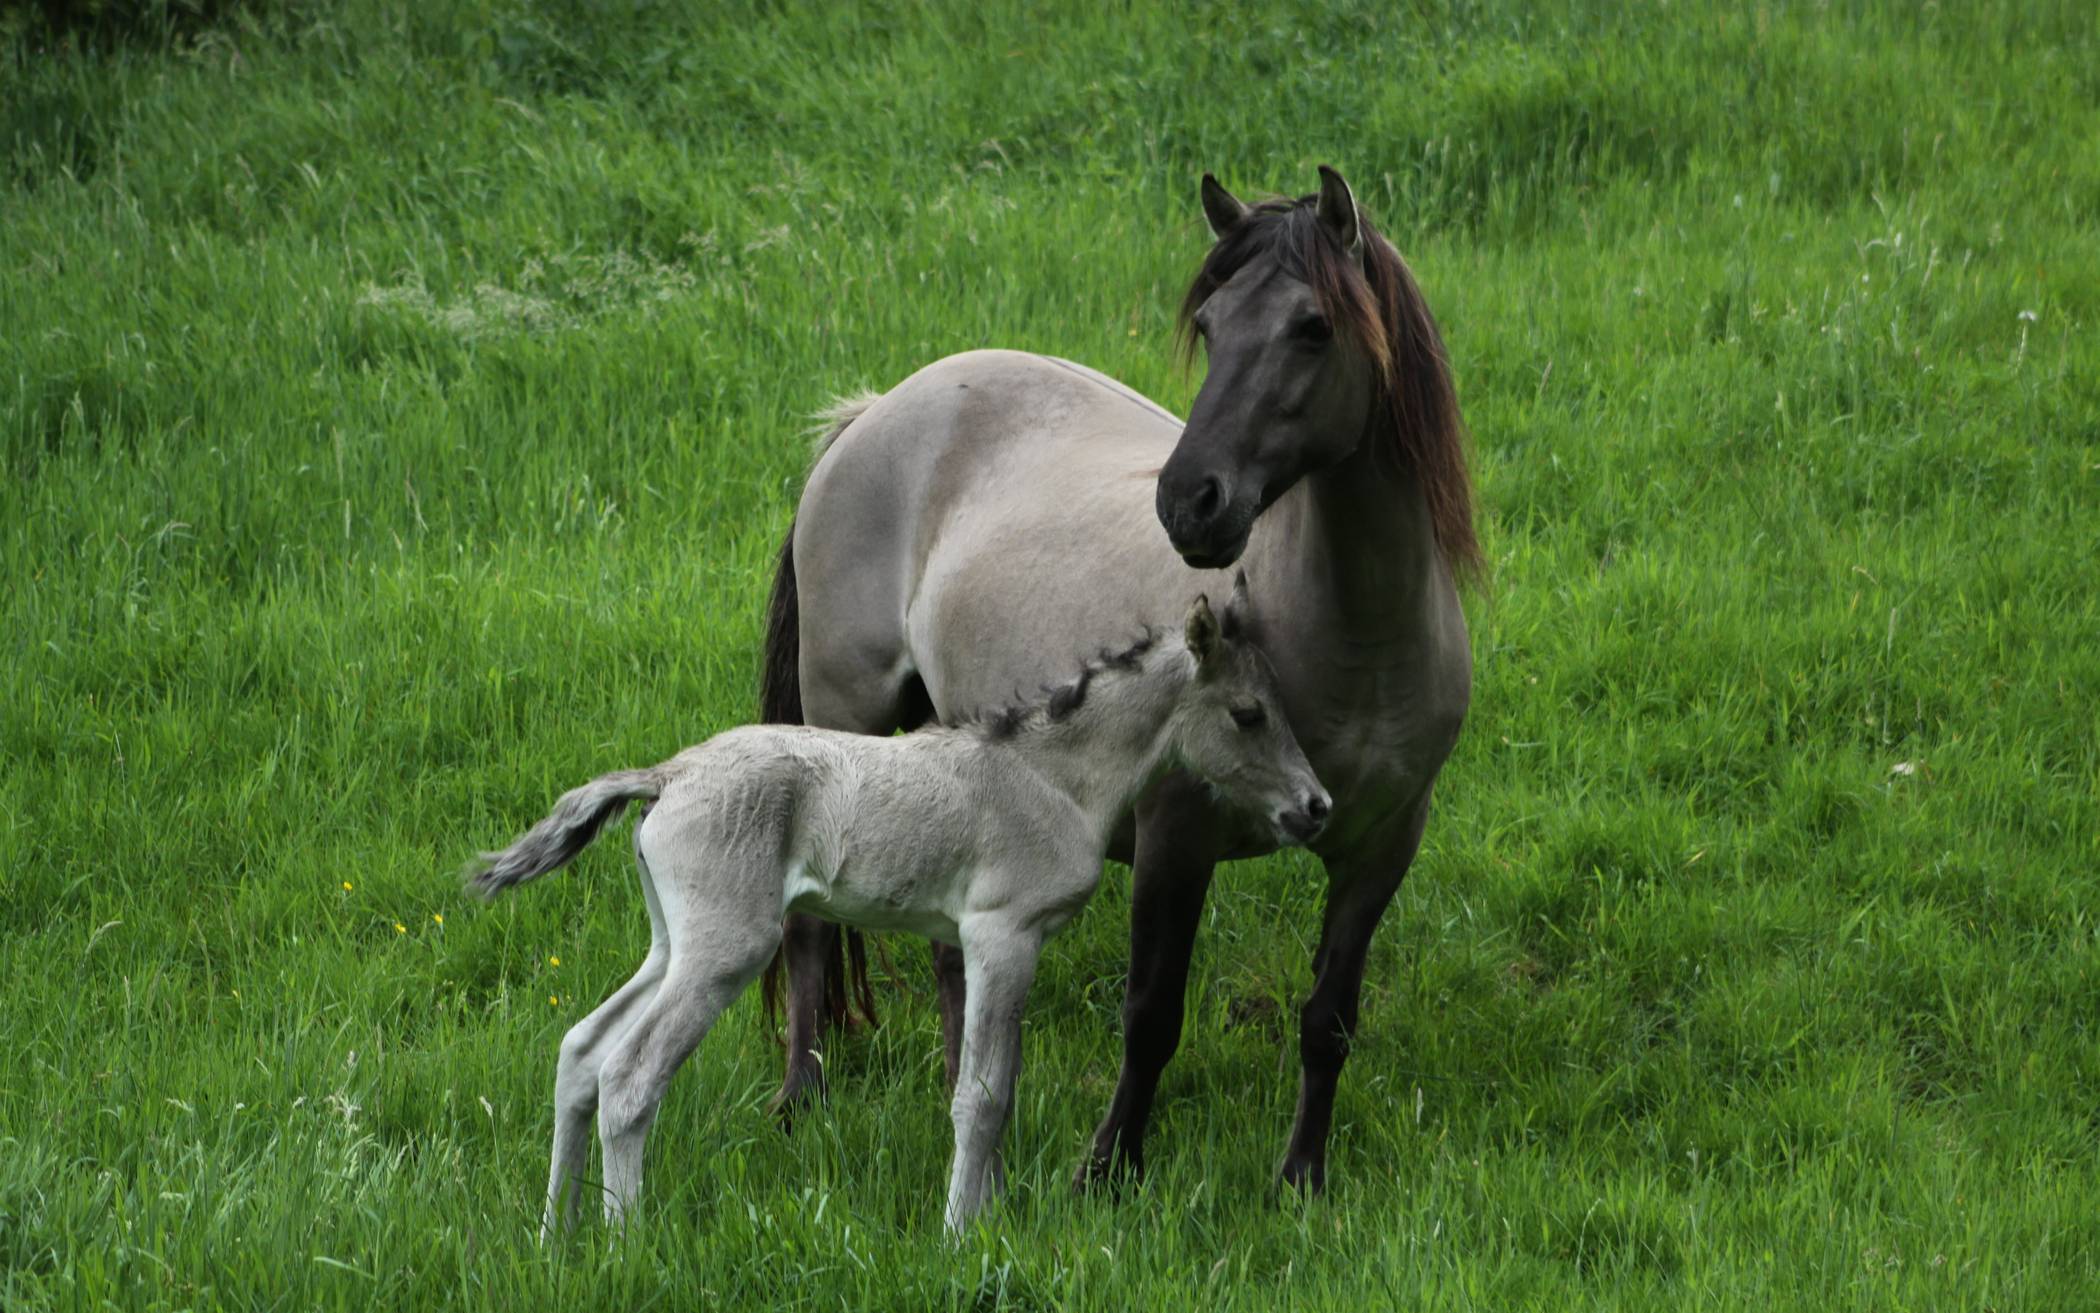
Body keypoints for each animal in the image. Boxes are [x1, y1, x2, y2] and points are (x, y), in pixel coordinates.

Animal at [476, 584, 1327, 1226]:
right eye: (1248, 713)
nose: (1315, 807)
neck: (1053, 776)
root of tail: (668, 774)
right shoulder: (1001, 935)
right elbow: (981, 1095)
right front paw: (960, 1233)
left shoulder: (1003, 946)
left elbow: (998, 1084)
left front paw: (989, 1218)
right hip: (726, 949)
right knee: (629, 1076)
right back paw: (627, 1239)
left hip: (673, 945)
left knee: (581, 1050)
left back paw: (557, 1233)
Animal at [760, 163, 1478, 1184]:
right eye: (1210, 324)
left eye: (1313, 326)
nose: (1189, 503)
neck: (1353, 643)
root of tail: (874, 412)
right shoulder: (1175, 839)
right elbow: (1152, 1012)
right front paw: (1107, 1170)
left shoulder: (1382, 848)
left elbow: (1329, 1021)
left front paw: (1301, 1177)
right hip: (844, 718)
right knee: (812, 924)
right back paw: (801, 1101)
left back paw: (956, 1088)